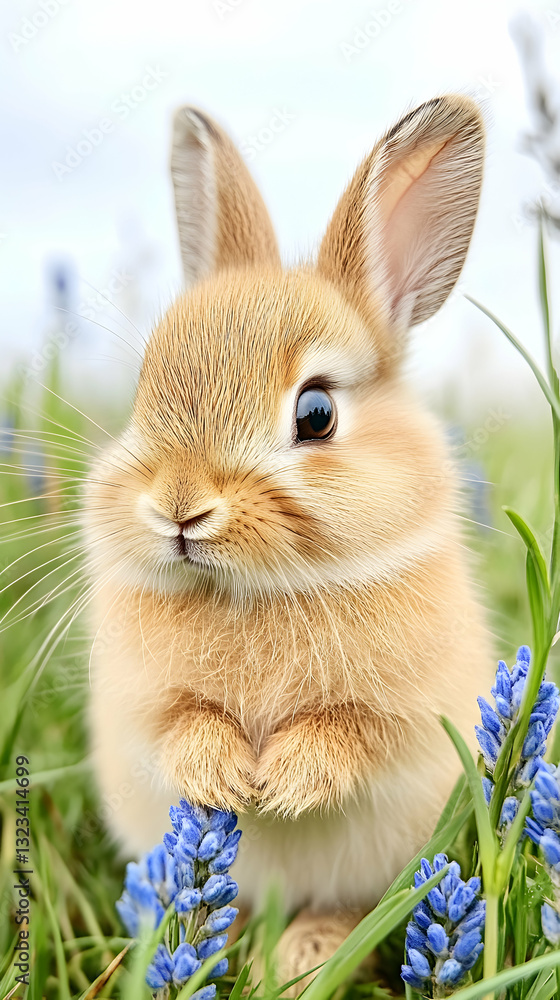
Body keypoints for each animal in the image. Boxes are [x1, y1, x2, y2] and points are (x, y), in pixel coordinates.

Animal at [84, 95, 492, 980]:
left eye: (316, 413)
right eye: (143, 392)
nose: (179, 507)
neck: (256, 588)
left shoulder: (401, 719)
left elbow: (349, 736)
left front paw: (282, 784)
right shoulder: (144, 709)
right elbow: (180, 728)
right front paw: (229, 779)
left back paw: (304, 954)